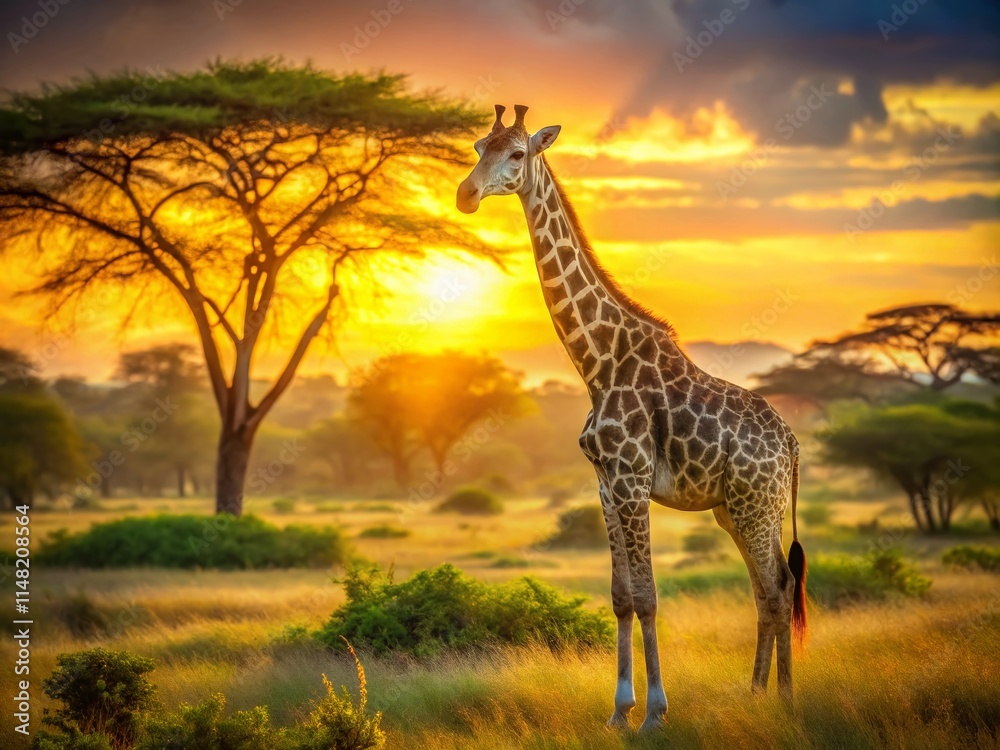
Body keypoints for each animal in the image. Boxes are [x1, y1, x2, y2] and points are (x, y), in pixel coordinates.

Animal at [456, 105, 807, 732]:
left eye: (517, 153)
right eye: (477, 146)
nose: (465, 194)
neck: (597, 361)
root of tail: (791, 443)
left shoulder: (633, 478)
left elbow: (647, 595)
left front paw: (656, 713)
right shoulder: (604, 482)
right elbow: (621, 596)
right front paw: (619, 711)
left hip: (756, 503)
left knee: (777, 585)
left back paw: (784, 699)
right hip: (735, 510)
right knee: (768, 589)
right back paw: (757, 695)